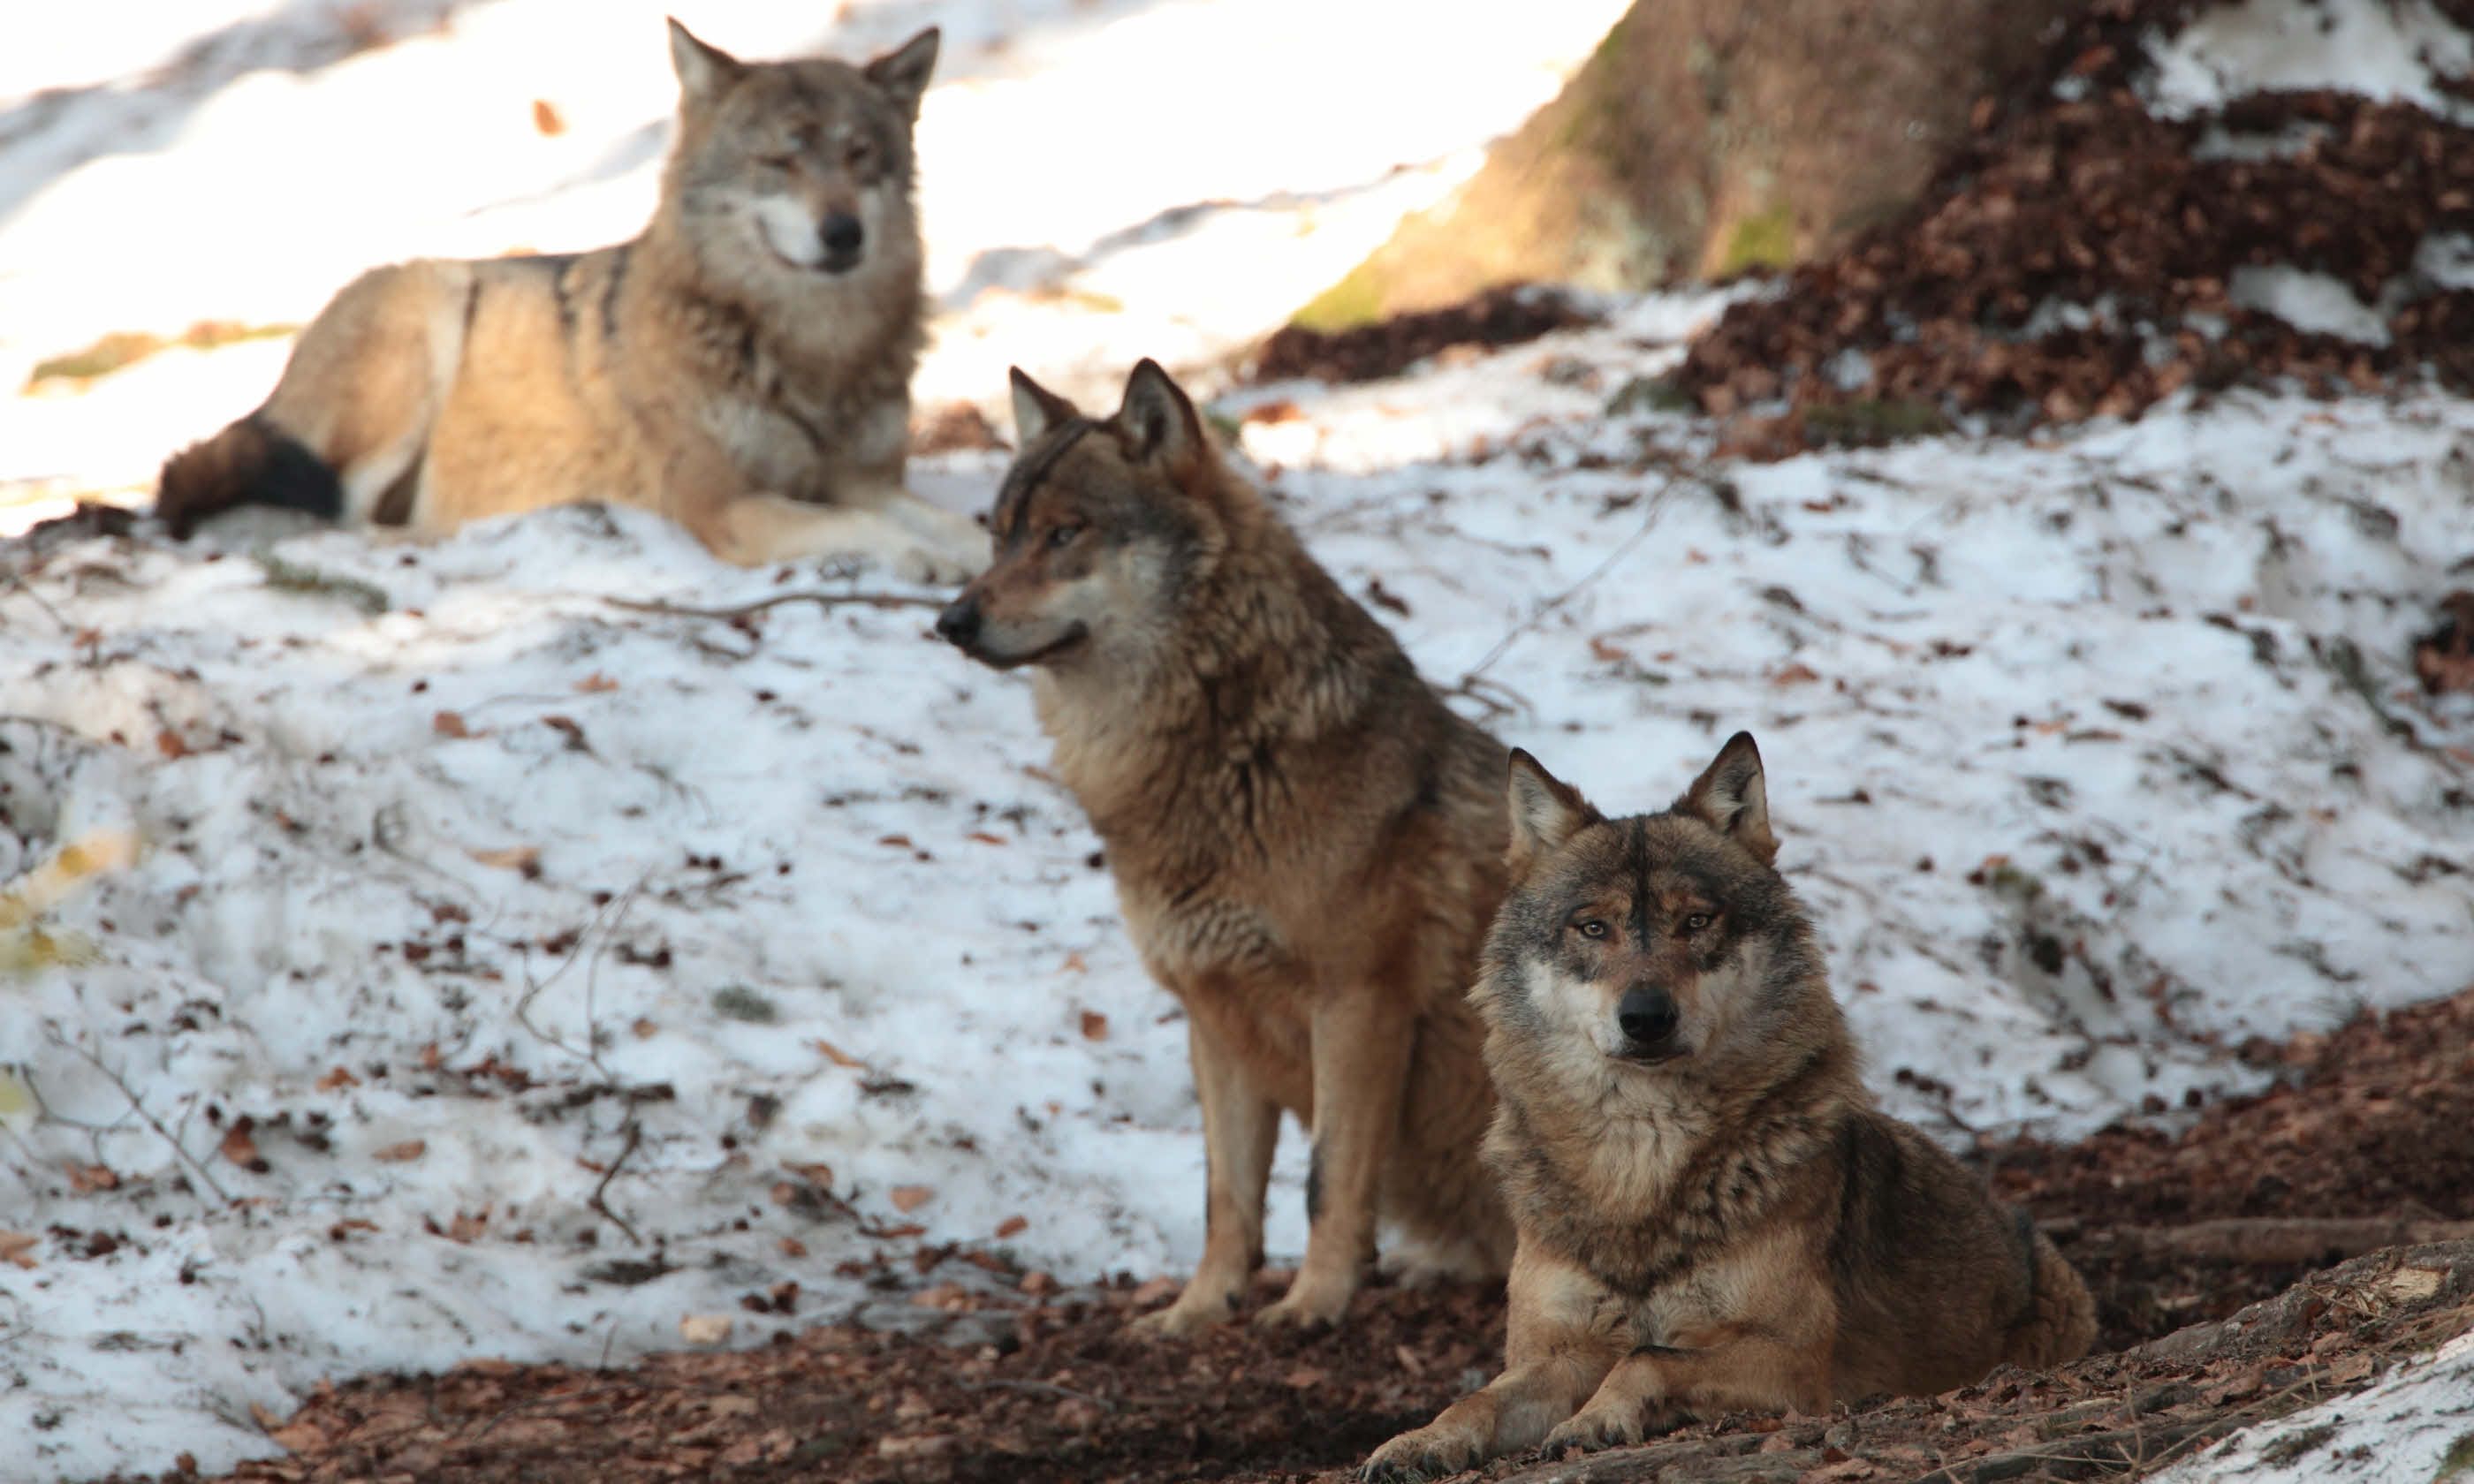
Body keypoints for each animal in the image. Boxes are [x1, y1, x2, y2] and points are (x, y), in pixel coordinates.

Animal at [154, 20, 986, 579]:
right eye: (779, 162)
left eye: (860, 156)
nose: (842, 233)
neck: (811, 350)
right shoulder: (722, 507)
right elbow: (857, 525)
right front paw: (920, 558)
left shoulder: (865, 479)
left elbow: (957, 526)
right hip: (429, 311)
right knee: (344, 521)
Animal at [933, 359, 1515, 1333]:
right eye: (999, 535)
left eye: (1065, 533)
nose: (951, 623)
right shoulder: (1213, 1016)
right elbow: (1226, 1195)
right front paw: (1199, 1311)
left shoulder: (1358, 1005)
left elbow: (1325, 1181)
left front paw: (1315, 1304)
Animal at [1362, 735, 2096, 1479]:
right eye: (1593, 927)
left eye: (1695, 921)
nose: (1646, 1017)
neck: (1640, 1162)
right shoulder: (1556, 1353)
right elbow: (1477, 1398)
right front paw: (1414, 1442)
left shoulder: (1793, 1362)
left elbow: (1647, 1357)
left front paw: (1598, 1417)